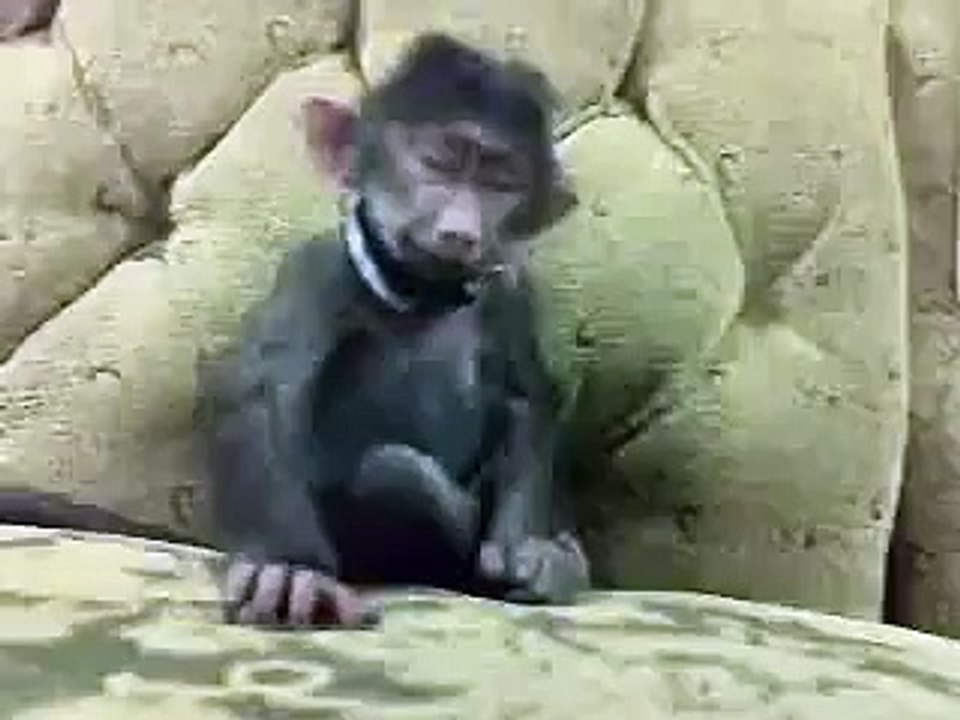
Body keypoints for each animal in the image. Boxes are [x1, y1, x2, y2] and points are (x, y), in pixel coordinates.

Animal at [204, 33, 591, 629]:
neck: (422, 295)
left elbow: (526, 400)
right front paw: (290, 568)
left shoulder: (511, 294)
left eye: (499, 183)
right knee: (396, 474)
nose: (461, 229)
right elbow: (264, 396)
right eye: (437, 164)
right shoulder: (317, 271)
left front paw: (527, 549)